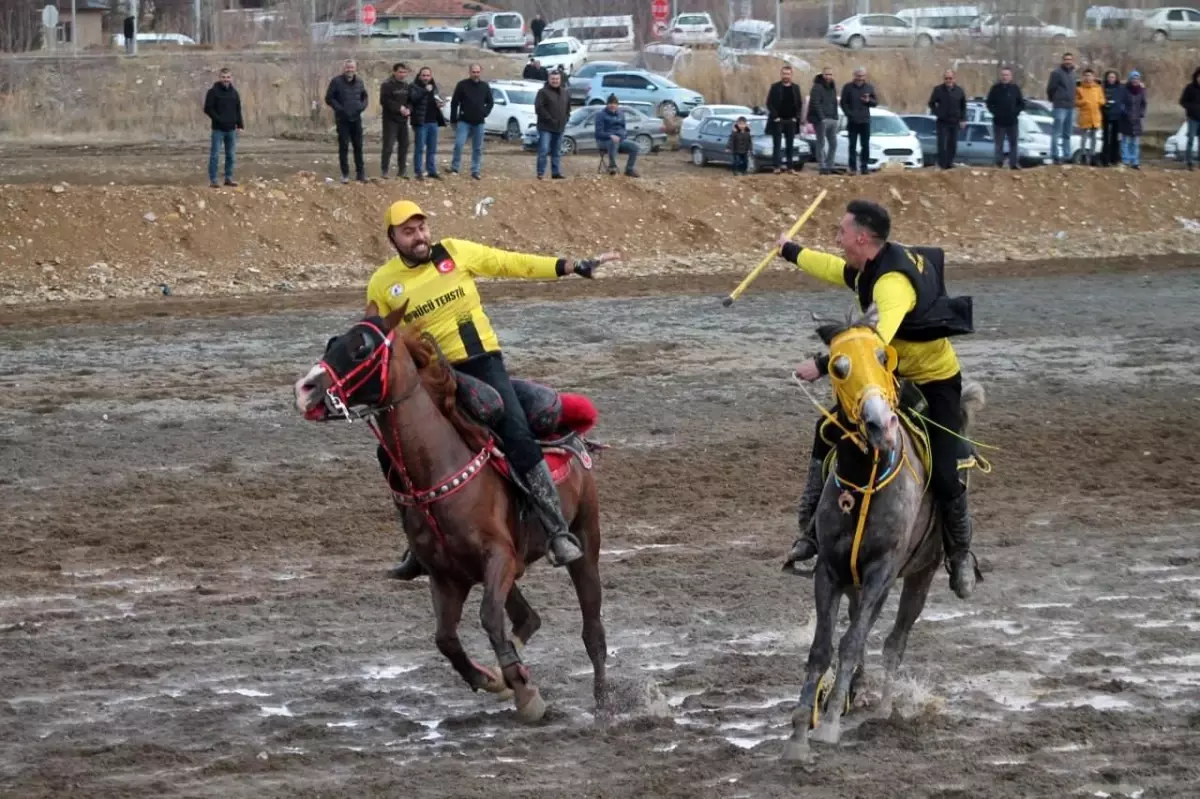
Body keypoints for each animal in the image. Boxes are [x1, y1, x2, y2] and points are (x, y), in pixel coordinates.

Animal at [291, 302, 609, 719]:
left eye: (361, 347)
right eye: (333, 342)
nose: (305, 389)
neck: (440, 467)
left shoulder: (499, 557)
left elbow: (488, 618)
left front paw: (524, 693)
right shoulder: (445, 576)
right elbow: (446, 639)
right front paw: (493, 680)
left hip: (585, 540)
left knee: (592, 630)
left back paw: (604, 703)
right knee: (527, 618)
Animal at [777, 304, 984, 758]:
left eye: (883, 356)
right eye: (837, 366)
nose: (880, 424)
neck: (864, 482)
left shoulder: (881, 572)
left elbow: (853, 641)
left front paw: (828, 724)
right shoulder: (830, 571)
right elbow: (822, 648)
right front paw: (800, 733)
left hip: (919, 575)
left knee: (894, 641)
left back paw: (886, 707)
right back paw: (856, 692)